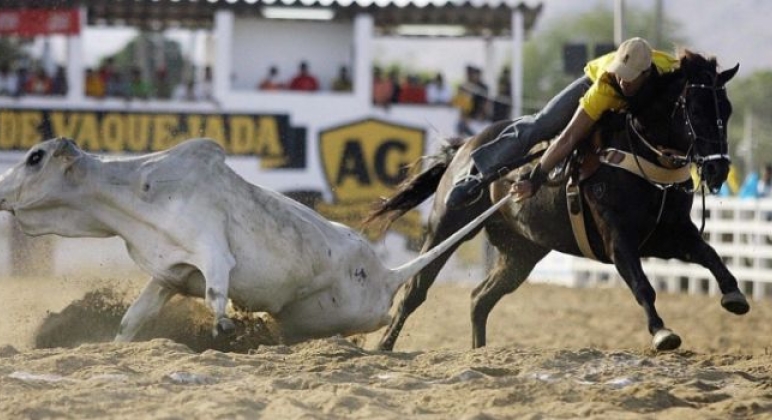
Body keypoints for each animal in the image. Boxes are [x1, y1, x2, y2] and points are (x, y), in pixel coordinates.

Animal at [0, 138, 494, 344]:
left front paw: (225, 329)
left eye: (35, 157)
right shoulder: (169, 275)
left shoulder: (212, 251)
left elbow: (217, 292)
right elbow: (131, 321)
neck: (141, 187)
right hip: (306, 317)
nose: (0, 189)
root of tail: (386, 272)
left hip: (350, 312)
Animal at [366, 50, 748, 352]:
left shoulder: (671, 235)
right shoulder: (618, 240)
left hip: (521, 251)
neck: (638, 149)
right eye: (693, 108)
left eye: (728, 109)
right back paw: (384, 347)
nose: (717, 168)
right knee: (415, 289)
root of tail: (463, 147)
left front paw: (734, 295)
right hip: (446, 228)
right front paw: (662, 332)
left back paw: (479, 353)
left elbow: (711, 255)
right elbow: (643, 285)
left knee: (479, 299)